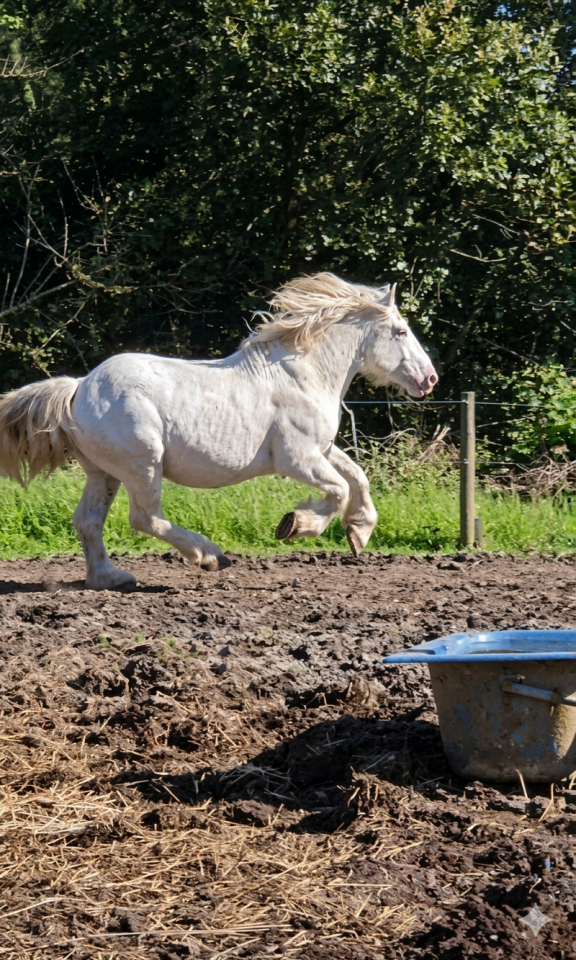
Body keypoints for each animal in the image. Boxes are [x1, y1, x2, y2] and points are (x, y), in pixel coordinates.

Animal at [0, 273, 437, 589]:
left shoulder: (321, 450)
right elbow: (340, 489)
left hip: (104, 472)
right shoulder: (297, 460)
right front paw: (295, 525)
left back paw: (110, 578)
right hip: (143, 464)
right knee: (145, 518)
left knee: (88, 521)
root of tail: (78, 387)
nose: (429, 379)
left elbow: (358, 477)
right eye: (400, 331)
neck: (306, 373)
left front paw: (358, 532)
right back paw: (210, 555)